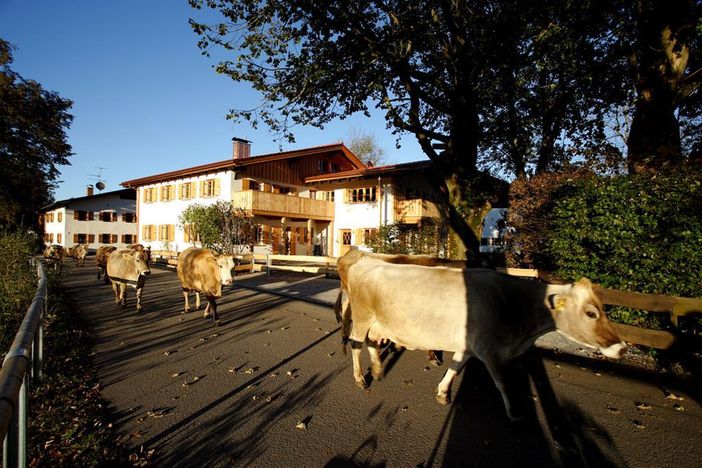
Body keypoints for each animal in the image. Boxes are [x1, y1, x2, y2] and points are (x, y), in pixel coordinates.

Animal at [344, 260, 628, 420]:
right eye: (591, 313)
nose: (622, 347)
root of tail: (364, 262)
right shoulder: (490, 351)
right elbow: (502, 382)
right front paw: (515, 412)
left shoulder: (469, 346)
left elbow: (455, 368)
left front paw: (443, 392)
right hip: (363, 317)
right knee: (356, 344)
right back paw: (360, 379)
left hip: (378, 323)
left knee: (371, 343)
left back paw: (377, 369)